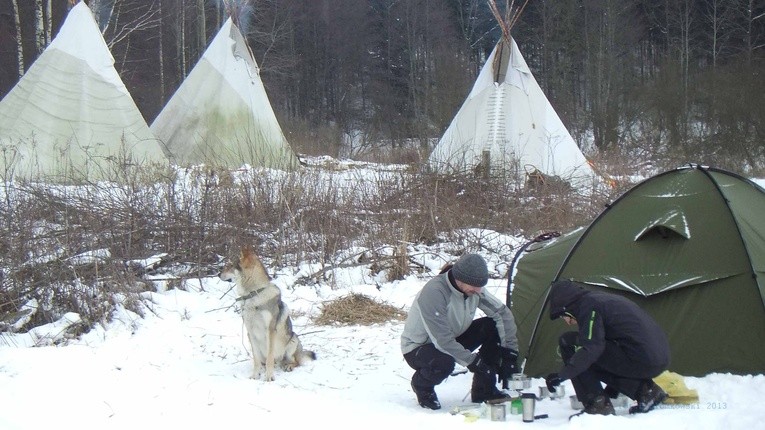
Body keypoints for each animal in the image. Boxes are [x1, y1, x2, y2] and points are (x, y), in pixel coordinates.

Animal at [218, 245, 316, 380]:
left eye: (230, 265)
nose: (218, 274)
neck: (254, 295)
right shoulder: (250, 332)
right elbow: (256, 359)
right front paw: (255, 375)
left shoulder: (270, 330)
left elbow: (270, 357)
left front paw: (269, 377)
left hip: (293, 340)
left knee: (295, 362)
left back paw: (288, 366)